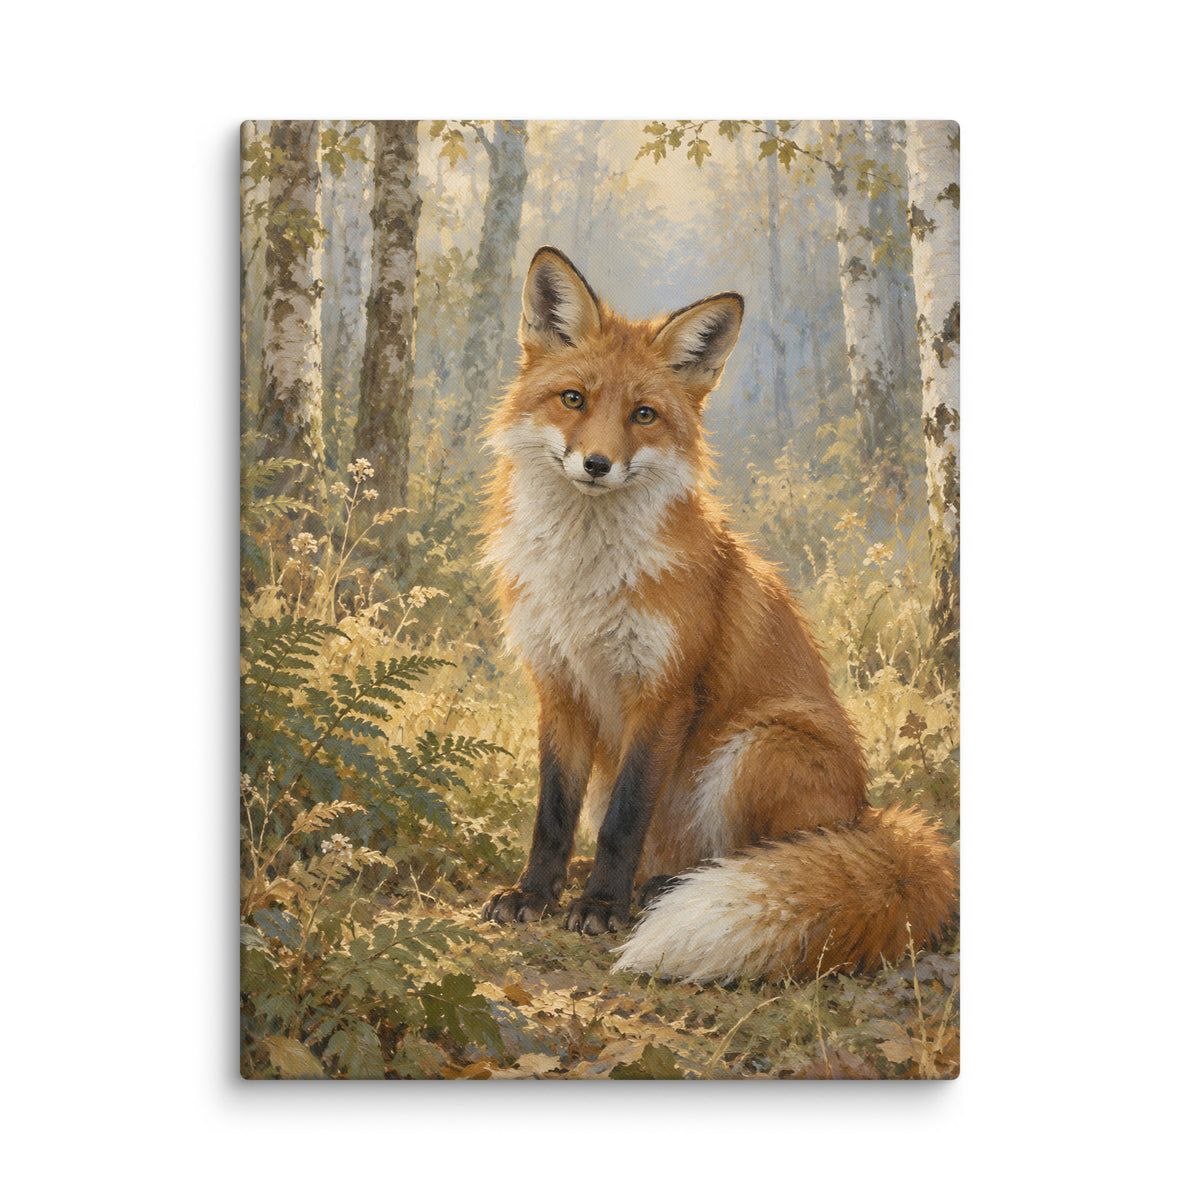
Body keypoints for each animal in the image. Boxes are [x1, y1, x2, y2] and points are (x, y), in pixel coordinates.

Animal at [480, 246, 957, 984]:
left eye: (644, 414)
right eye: (573, 400)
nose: (596, 463)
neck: (586, 579)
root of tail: (866, 817)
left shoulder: (664, 689)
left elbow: (623, 820)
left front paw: (600, 906)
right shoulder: (557, 685)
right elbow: (552, 815)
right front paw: (536, 893)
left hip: (759, 746)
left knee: (749, 859)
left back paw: (656, 892)